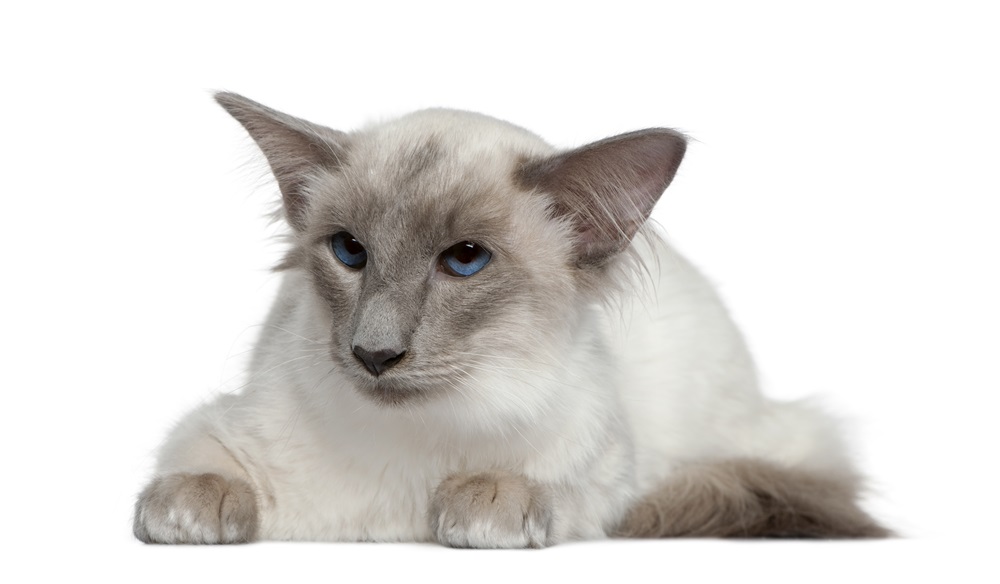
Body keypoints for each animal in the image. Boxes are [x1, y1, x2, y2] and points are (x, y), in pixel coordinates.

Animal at [135, 92, 892, 548]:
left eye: (465, 260)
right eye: (349, 251)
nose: (374, 354)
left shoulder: (605, 477)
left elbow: (534, 485)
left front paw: (480, 506)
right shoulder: (216, 427)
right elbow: (198, 474)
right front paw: (190, 513)